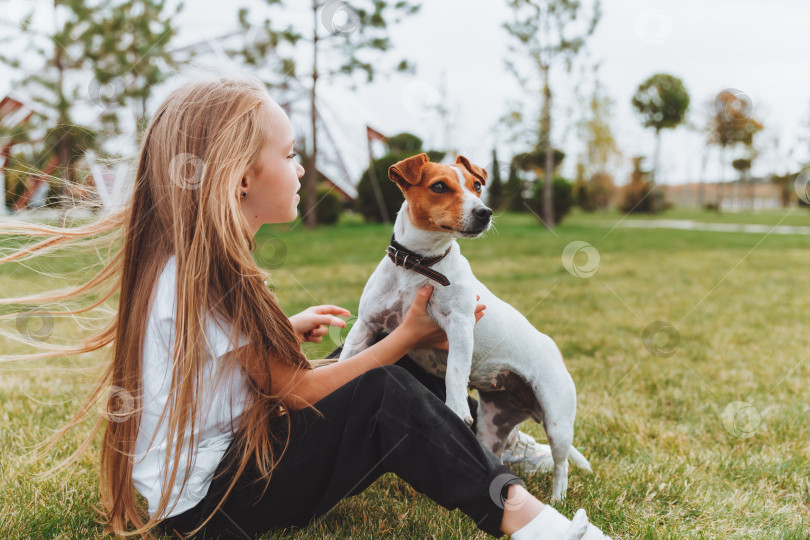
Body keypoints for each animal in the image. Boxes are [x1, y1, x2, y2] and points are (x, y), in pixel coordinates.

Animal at [338, 153, 592, 502]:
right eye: (439, 187)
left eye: (477, 186)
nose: (484, 212)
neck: (420, 264)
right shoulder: (366, 325)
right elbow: (346, 359)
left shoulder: (459, 326)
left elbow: (455, 373)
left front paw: (456, 408)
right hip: (492, 425)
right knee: (493, 455)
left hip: (557, 422)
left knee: (561, 465)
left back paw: (557, 498)